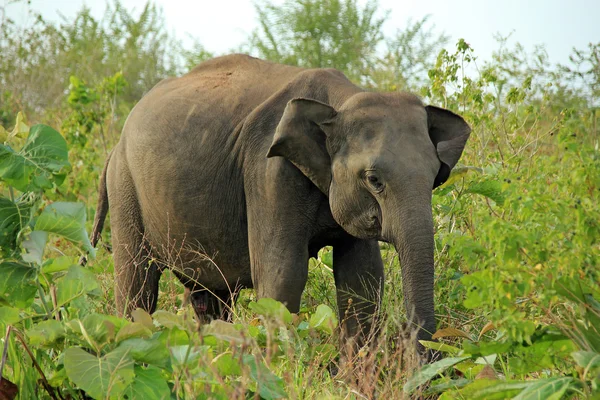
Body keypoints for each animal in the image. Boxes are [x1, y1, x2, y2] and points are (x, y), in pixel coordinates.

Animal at [91, 53, 472, 354]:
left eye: (437, 177)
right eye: (374, 180)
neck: (341, 100)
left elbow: (361, 281)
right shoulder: (267, 171)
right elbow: (282, 276)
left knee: (210, 299)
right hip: (126, 188)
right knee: (137, 285)